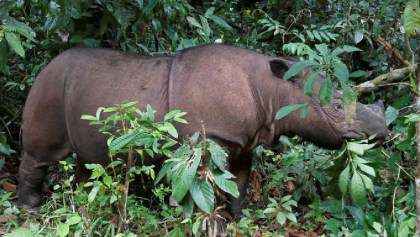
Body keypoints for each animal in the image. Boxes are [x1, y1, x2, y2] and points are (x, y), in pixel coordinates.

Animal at [18, 45, 388, 217]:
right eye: (337, 107)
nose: (383, 131)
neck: (273, 91)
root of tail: (47, 65)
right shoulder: (208, 139)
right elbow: (201, 186)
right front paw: (207, 222)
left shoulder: (243, 139)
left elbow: (239, 183)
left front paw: (242, 218)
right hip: (49, 85)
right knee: (40, 154)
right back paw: (30, 210)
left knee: (90, 162)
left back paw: (83, 209)